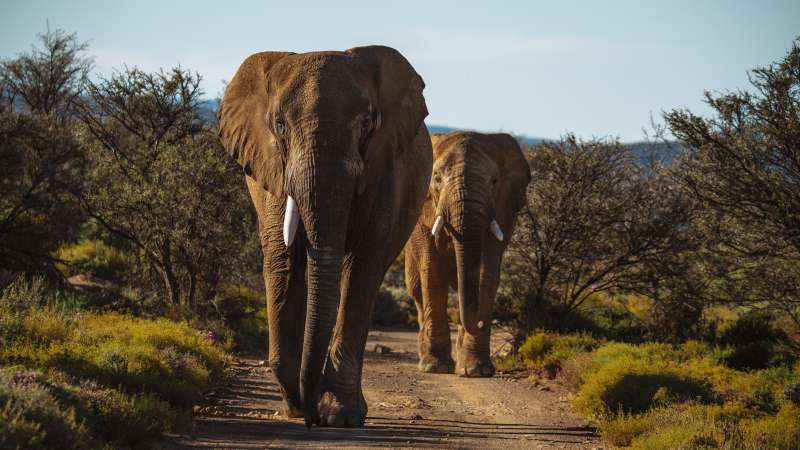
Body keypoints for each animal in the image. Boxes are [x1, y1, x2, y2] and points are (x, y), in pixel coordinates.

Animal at [218, 46, 432, 427]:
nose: (311, 416)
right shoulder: (272, 169)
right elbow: (283, 260)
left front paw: (340, 416)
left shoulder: (385, 167)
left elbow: (361, 267)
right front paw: (297, 408)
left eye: (367, 122)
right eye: (279, 124)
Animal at [404, 131, 531, 377]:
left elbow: (486, 274)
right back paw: (426, 359)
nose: (482, 323)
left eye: (494, 181)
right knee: (416, 290)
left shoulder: (502, 209)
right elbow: (432, 272)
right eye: (436, 178)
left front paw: (476, 370)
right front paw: (436, 367)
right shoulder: (424, 213)